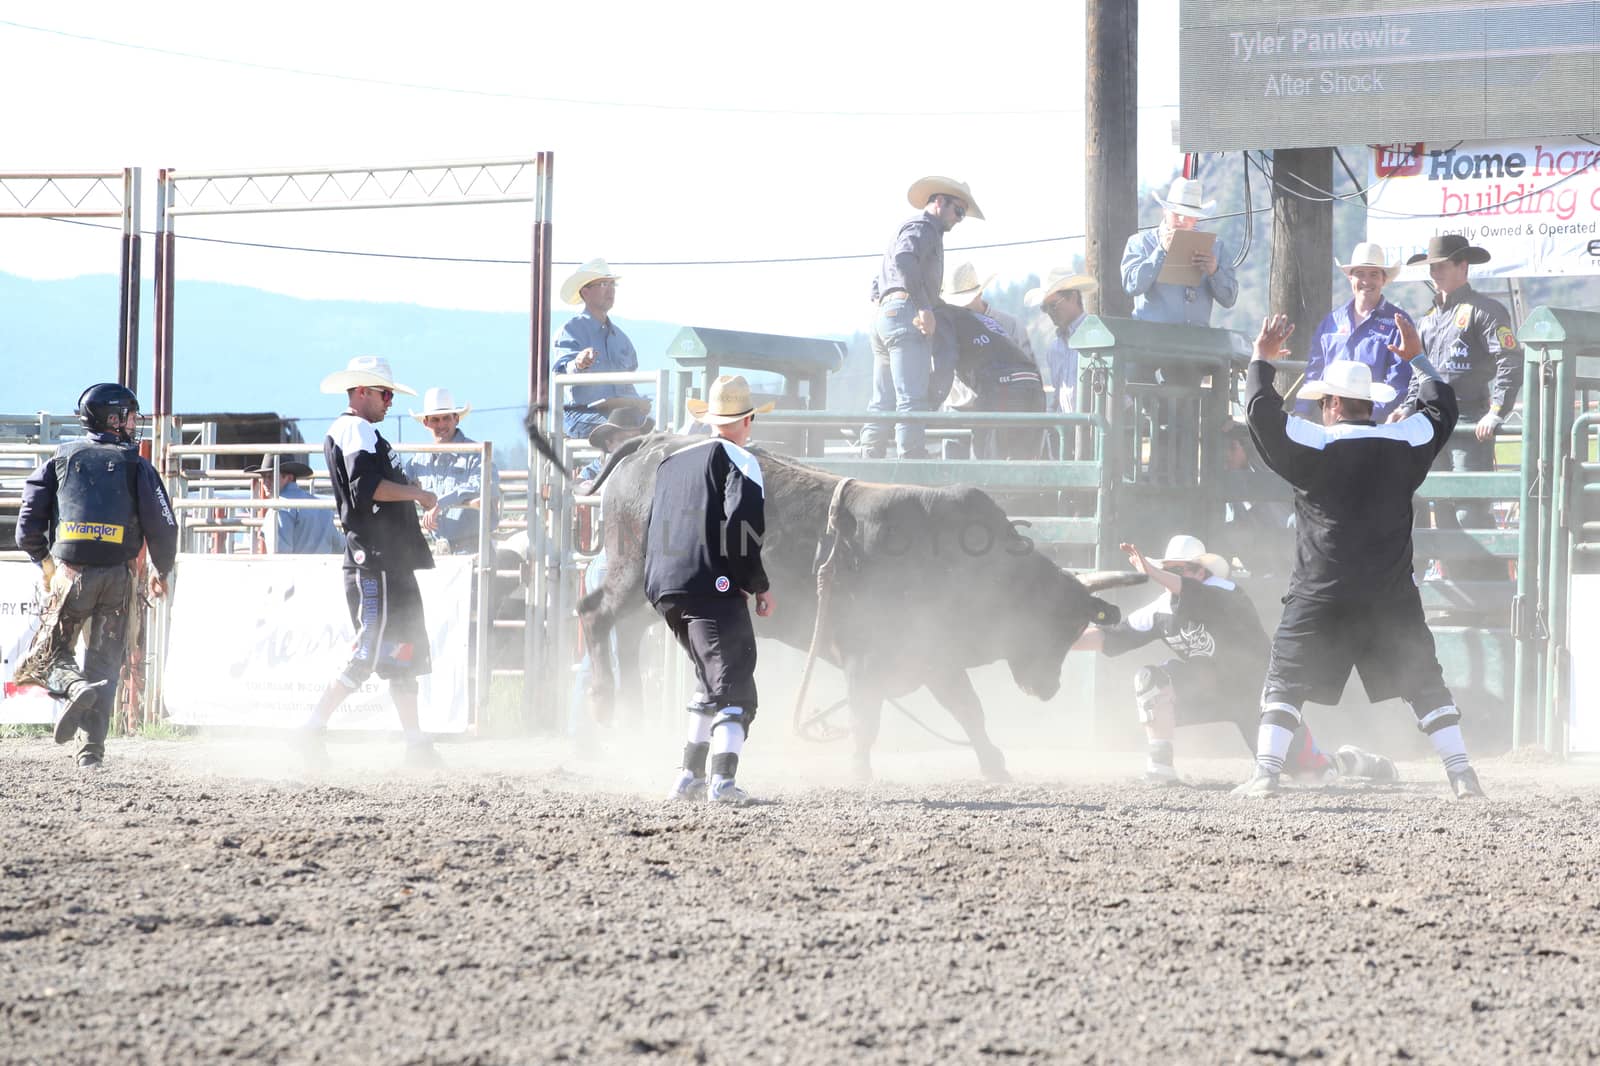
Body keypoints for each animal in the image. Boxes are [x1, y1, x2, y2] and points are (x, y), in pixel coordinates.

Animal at [576, 432, 1139, 781]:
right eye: (1055, 624)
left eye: (1077, 626)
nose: (1048, 689)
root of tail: (652, 442)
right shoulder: (866, 654)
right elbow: (869, 715)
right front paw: (860, 768)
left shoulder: (934, 655)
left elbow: (968, 710)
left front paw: (994, 764)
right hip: (630, 576)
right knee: (594, 614)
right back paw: (603, 706)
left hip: (654, 596)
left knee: (627, 632)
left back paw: (632, 716)